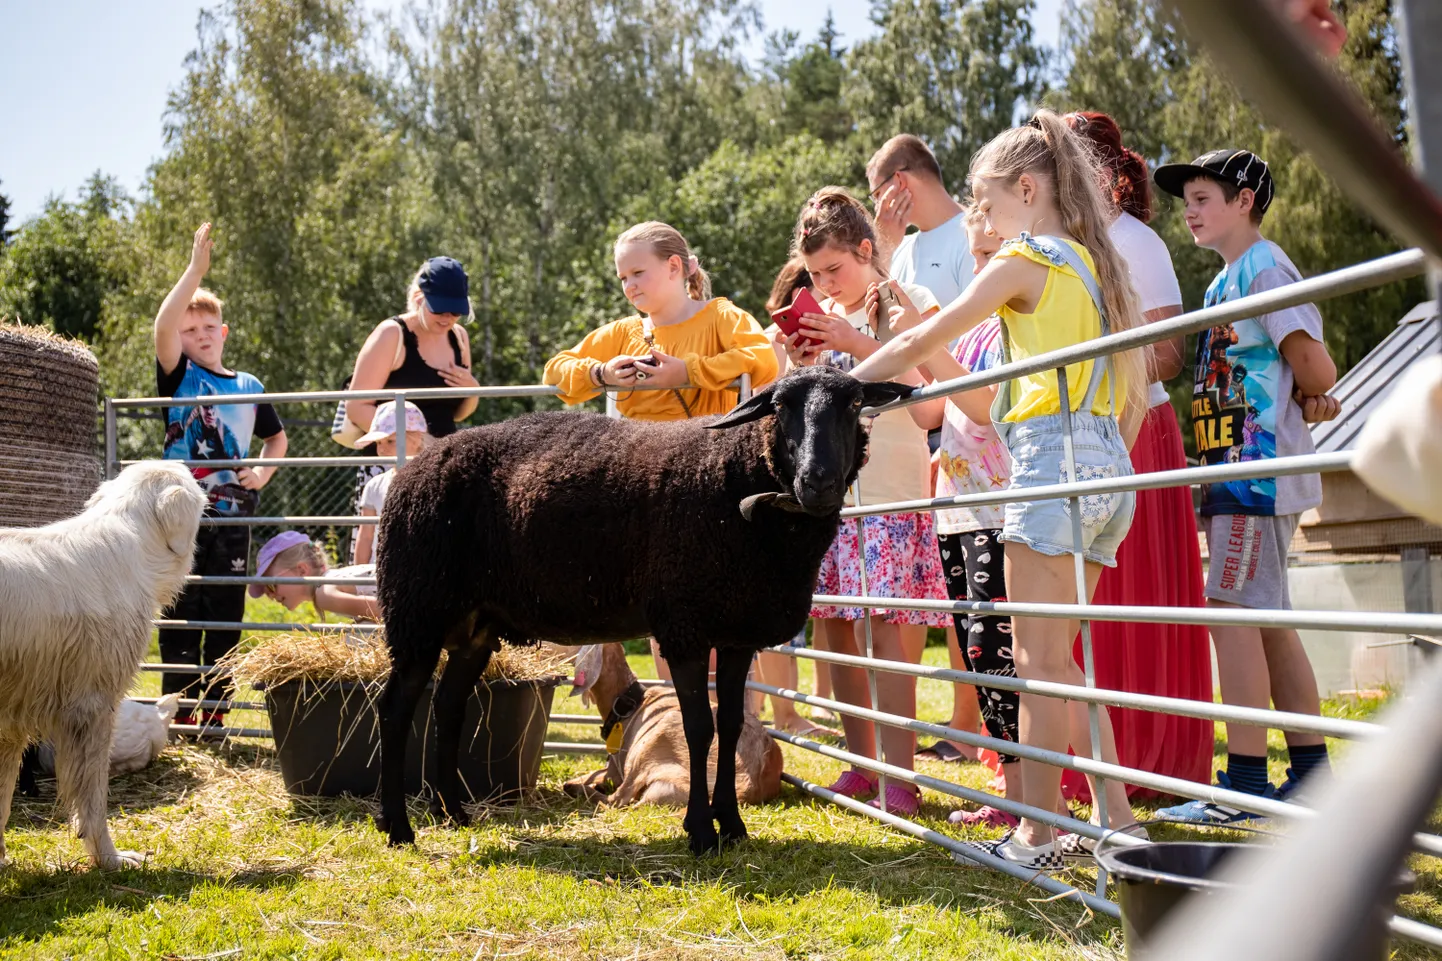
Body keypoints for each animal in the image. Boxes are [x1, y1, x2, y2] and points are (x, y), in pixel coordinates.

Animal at [559, 640, 784, 802]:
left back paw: (577, 789)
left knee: (618, 799)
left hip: (653, 743)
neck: (629, 702)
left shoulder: (617, 771)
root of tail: (746, 785)